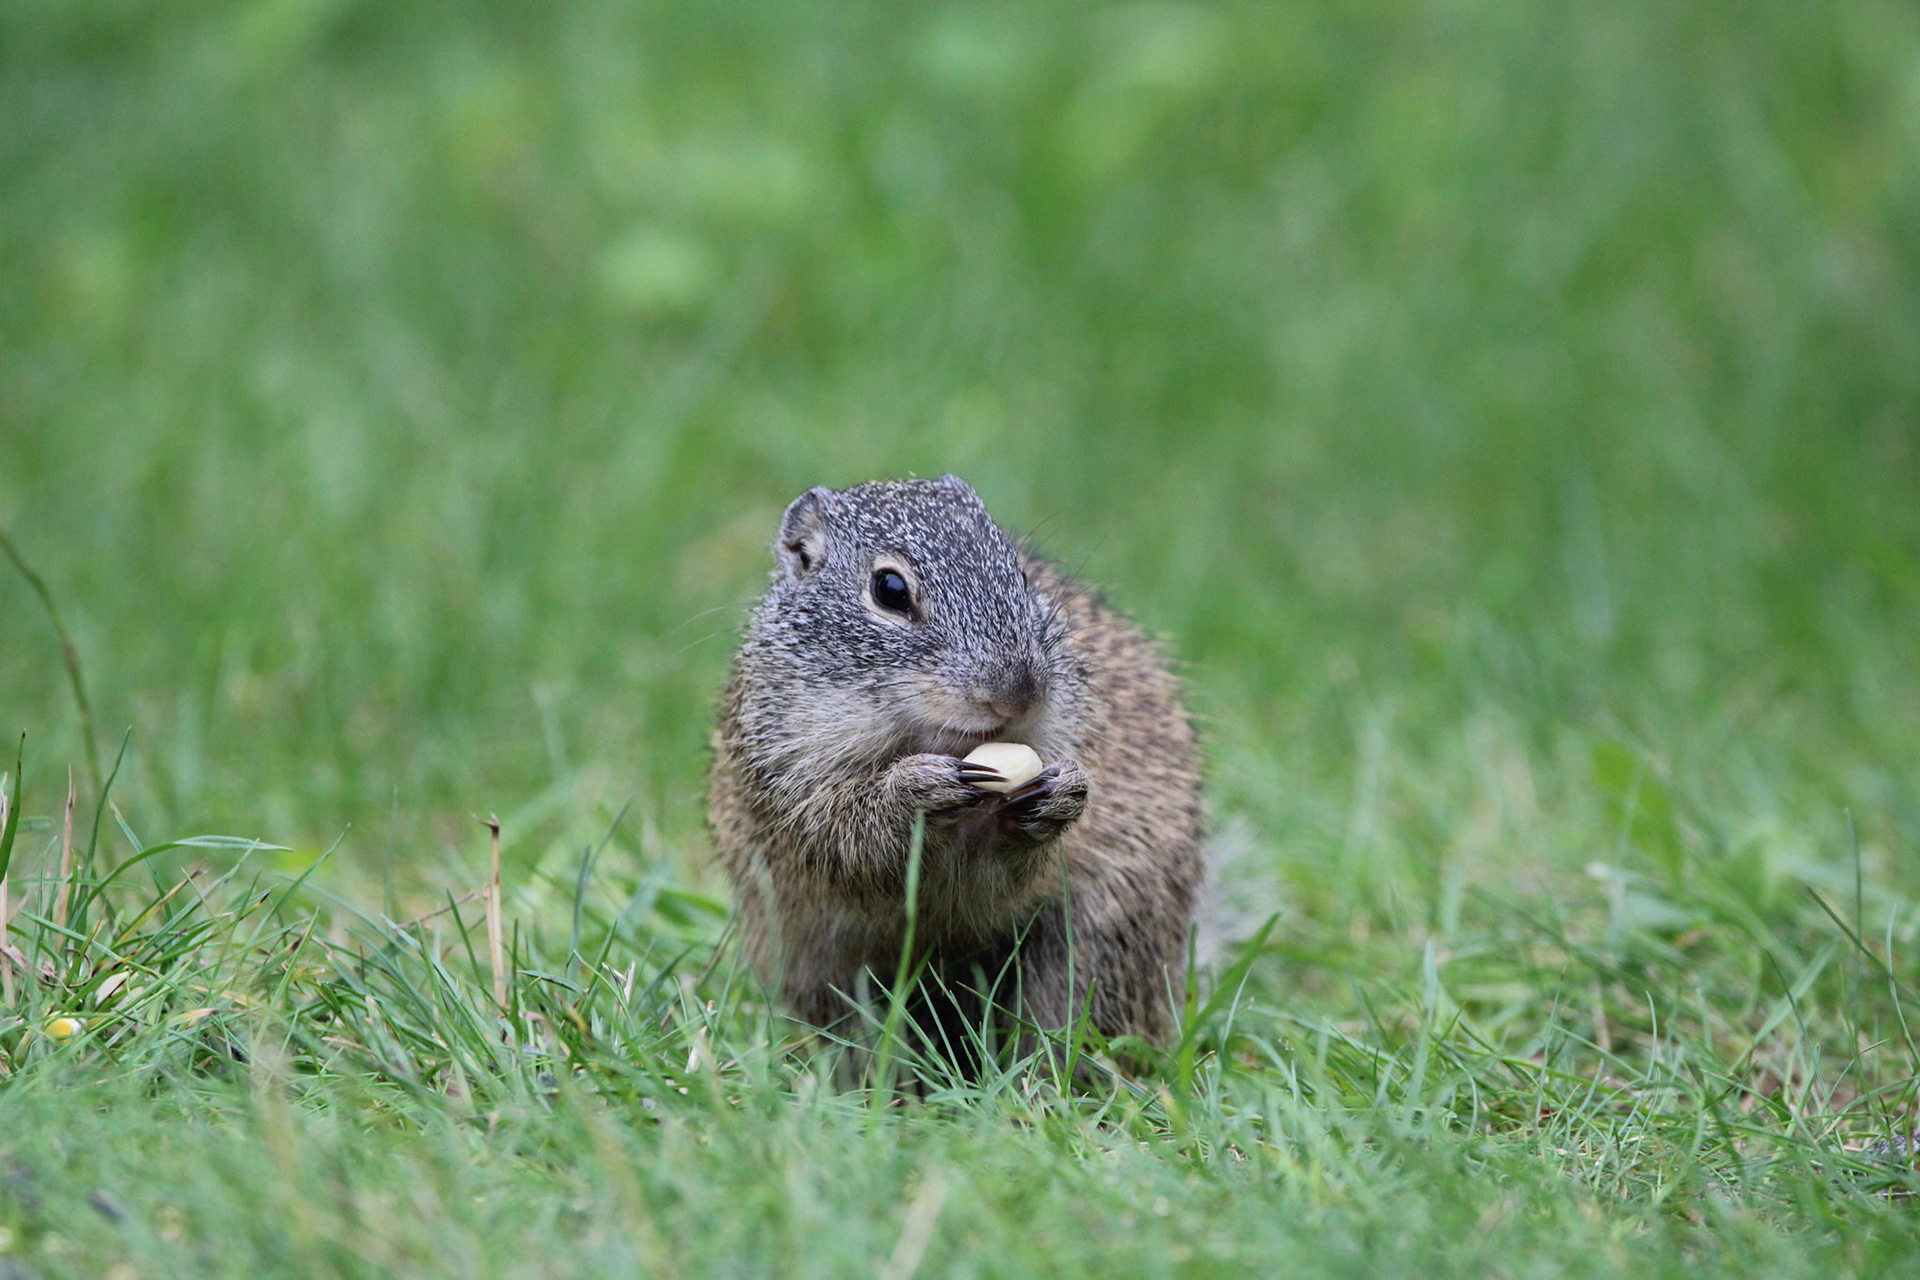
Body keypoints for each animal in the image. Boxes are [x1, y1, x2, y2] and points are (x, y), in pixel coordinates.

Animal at [708, 475, 1203, 1063]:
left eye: (1020, 575)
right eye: (890, 590)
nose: (1019, 692)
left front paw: (1060, 799)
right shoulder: (787, 784)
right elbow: (850, 841)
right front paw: (914, 792)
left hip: (1100, 950)